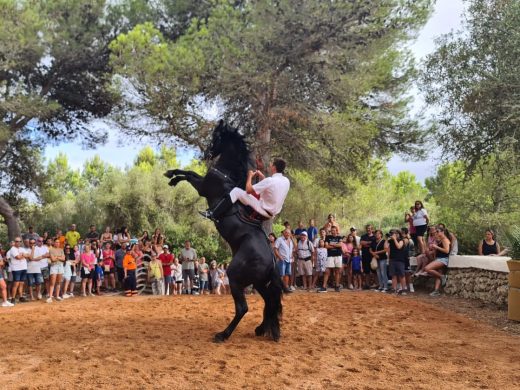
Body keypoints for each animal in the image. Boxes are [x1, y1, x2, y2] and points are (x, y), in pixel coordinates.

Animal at [165, 121, 282, 342]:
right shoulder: (203, 181)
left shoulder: (203, 186)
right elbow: (190, 172)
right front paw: (171, 175)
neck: (227, 174)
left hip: (235, 277)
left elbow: (189, 174)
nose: (207, 153)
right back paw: (262, 329)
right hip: (259, 283)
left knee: (243, 308)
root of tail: (272, 260)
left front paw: (172, 177)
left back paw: (223, 334)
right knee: (270, 302)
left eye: (217, 137)